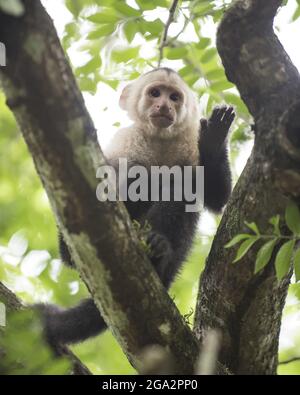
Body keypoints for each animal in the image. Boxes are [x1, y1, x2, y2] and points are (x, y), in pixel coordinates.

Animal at [37, 69, 234, 350]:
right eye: (155, 93)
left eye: (174, 97)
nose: (163, 106)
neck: (159, 140)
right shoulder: (126, 140)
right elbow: (111, 176)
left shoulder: (189, 146)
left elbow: (215, 196)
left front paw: (214, 141)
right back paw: (69, 250)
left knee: (180, 187)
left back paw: (158, 252)